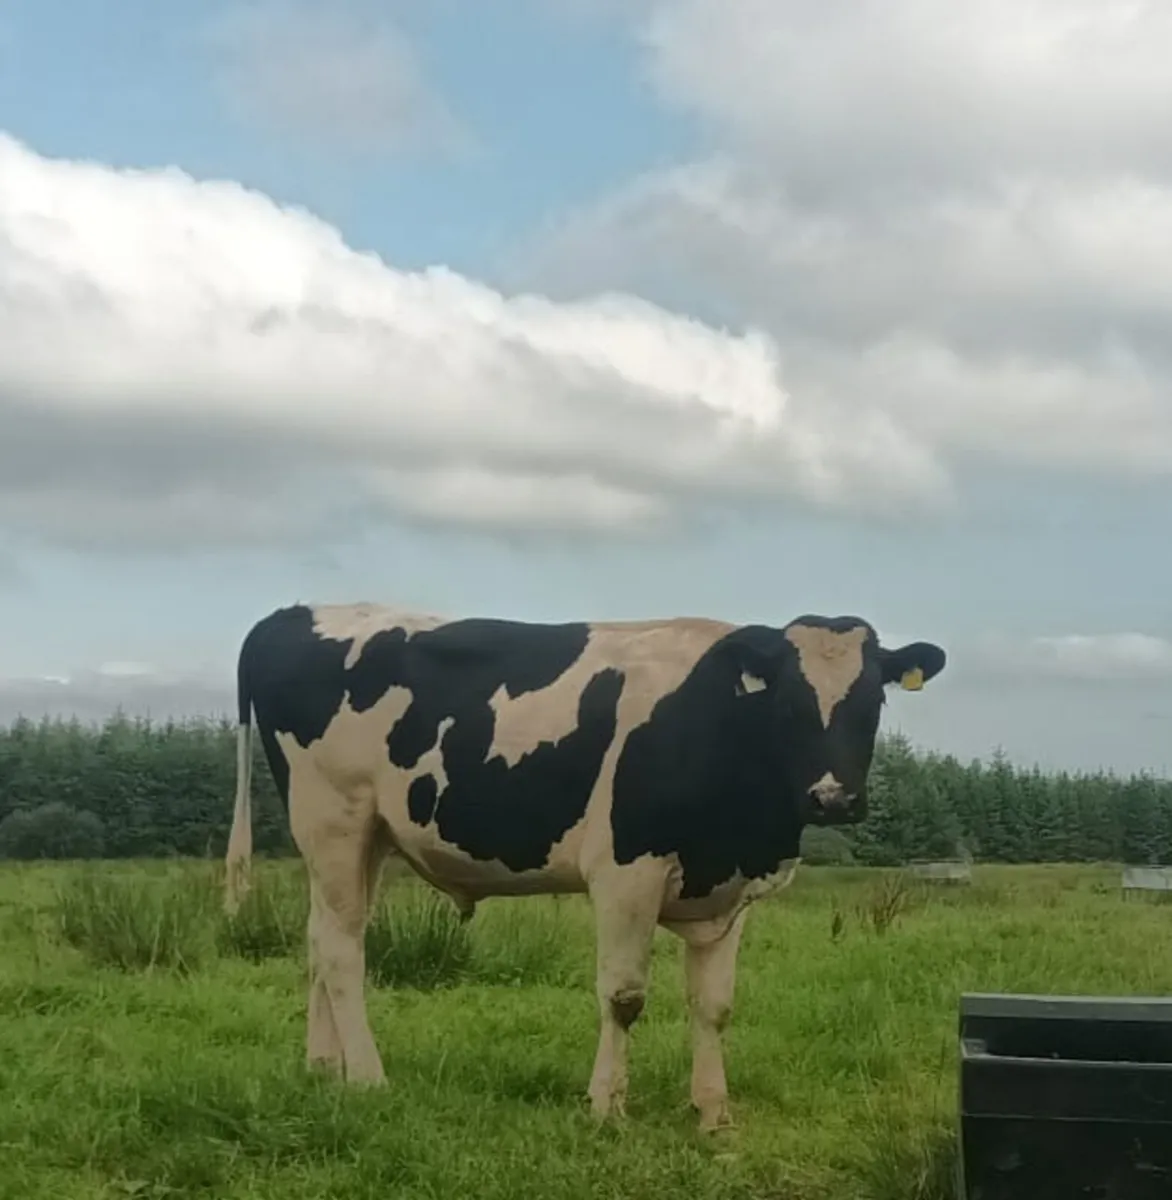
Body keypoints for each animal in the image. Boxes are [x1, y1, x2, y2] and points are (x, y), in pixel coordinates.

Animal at [222, 603, 946, 1131]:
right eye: (789, 703)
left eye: (872, 703)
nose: (833, 798)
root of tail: (293, 613)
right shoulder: (627, 873)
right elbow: (624, 998)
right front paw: (606, 1108)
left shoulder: (730, 892)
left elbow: (714, 1007)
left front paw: (713, 1114)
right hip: (333, 817)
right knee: (343, 951)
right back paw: (370, 1079)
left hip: (365, 836)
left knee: (320, 938)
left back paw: (324, 1067)